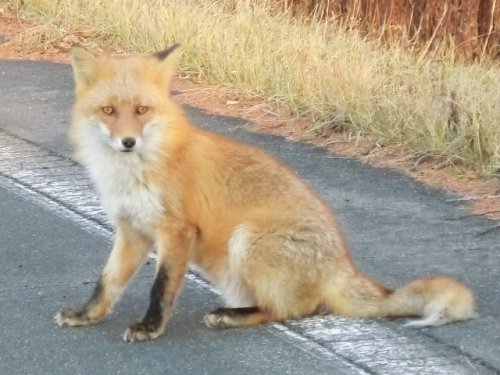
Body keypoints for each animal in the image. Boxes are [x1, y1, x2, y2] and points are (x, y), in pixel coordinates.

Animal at [53, 44, 476, 344]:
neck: (136, 172)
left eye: (142, 110)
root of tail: (341, 263)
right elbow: (107, 282)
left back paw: (229, 316)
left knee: (295, 310)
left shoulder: (176, 231)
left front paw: (150, 327)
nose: (128, 142)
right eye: (108, 111)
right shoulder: (132, 231)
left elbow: (161, 288)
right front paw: (87, 315)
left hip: (247, 240)